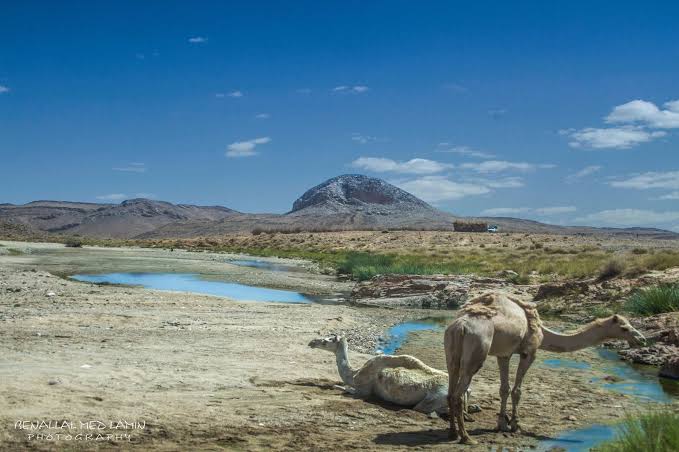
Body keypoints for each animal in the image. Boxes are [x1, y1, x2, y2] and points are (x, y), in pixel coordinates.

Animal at [310, 334, 470, 414]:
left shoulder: (363, 390)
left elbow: (345, 388)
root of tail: (467, 390)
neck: (354, 373)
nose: (311, 342)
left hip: (435, 396)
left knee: (425, 409)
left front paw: (338, 387)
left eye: (326, 340)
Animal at [444, 294, 644, 444]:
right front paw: (516, 425)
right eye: (624, 328)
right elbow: (517, 390)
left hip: (452, 351)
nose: (641, 339)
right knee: (458, 394)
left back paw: (453, 433)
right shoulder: (529, 352)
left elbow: (504, 389)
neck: (542, 331)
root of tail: (460, 326)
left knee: (450, 389)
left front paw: (502, 424)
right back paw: (466, 438)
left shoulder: (504, 354)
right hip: (477, 350)